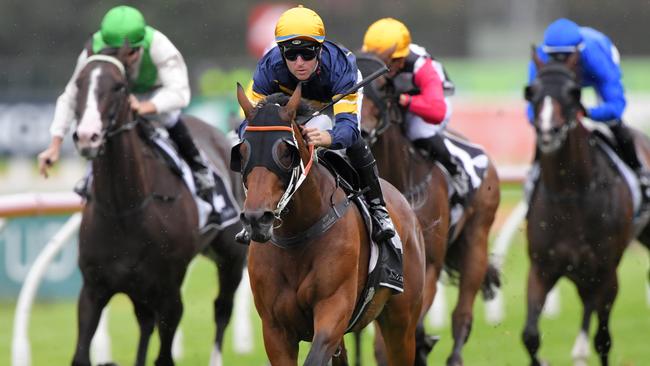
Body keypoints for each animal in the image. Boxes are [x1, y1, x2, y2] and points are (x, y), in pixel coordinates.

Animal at [68, 47, 246, 364]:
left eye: (119, 86)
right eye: (79, 83)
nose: (88, 136)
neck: (124, 209)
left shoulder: (169, 293)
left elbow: (164, 355)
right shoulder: (93, 289)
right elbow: (80, 355)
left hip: (231, 258)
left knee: (222, 309)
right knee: (145, 322)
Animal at [232, 83, 426, 366]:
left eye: (286, 152)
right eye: (243, 151)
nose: (257, 219)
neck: (296, 235)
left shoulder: (332, 312)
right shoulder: (275, 329)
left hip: (401, 323)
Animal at [354, 54, 502, 366]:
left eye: (383, 86)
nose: (361, 129)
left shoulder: (429, 265)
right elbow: (382, 346)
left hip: (476, 241)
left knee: (462, 316)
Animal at [520, 51, 648, 366]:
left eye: (573, 93)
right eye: (531, 92)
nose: (548, 132)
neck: (571, 195)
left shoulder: (605, 271)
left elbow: (600, 339)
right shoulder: (541, 268)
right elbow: (530, 336)